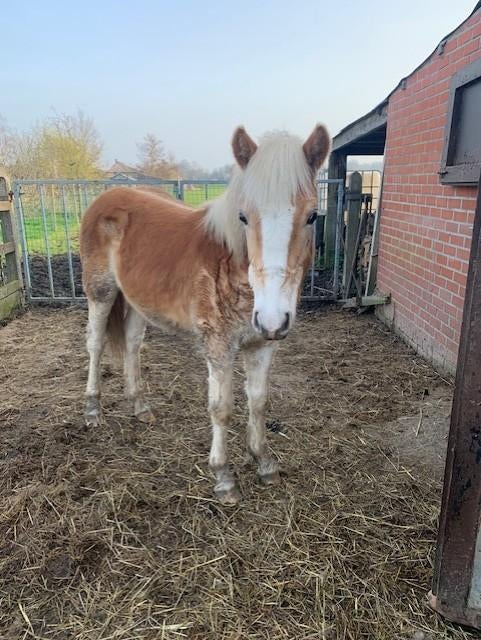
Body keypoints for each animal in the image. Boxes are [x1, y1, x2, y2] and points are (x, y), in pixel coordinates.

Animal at [79, 124, 330, 504]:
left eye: (312, 215)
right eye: (243, 216)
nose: (272, 317)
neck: (230, 266)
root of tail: (108, 196)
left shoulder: (263, 345)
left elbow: (258, 402)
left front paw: (264, 463)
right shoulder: (219, 348)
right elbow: (221, 408)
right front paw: (224, 478)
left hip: (137, 302)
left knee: (133, 346)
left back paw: (140, 406)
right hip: (101, 292)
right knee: (95, 344)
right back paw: (93, 410)